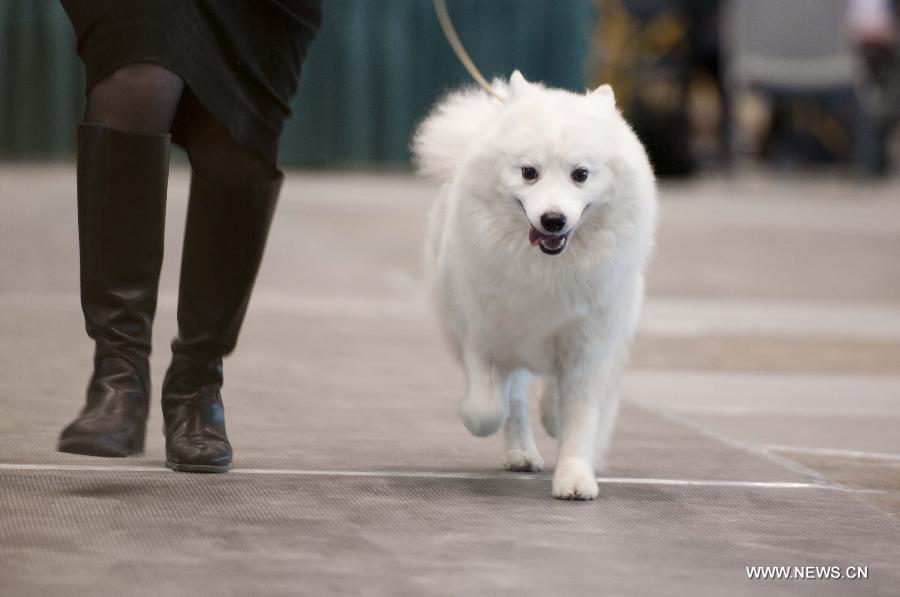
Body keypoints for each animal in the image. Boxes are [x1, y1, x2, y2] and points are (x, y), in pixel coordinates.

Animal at [412, 70, 656, 498]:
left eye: (581, 174)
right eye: (529, 172)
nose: (553, 220)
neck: (548, 271)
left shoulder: (588, 344)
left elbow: (581, 417)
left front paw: (575, 478)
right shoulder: (484, 338)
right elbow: (489, 409)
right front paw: (472, 414)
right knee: (515, 403)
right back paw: (521, 453)